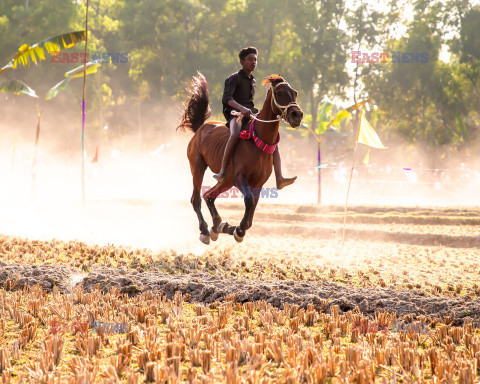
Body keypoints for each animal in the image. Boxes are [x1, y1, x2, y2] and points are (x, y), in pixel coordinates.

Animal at [176, 73, 304, 244]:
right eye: (279, 93)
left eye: (295, 92)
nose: (297, 115)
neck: (256, 140)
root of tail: (200, 130)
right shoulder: (239, 178)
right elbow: (248, 202)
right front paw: (238, 230)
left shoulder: (258, 183)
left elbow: (252, 211)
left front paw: (234, 228)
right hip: (198, 168)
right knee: (196, 198)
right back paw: (205, 230)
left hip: (226, 180)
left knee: (209, 196)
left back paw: (218, 226)